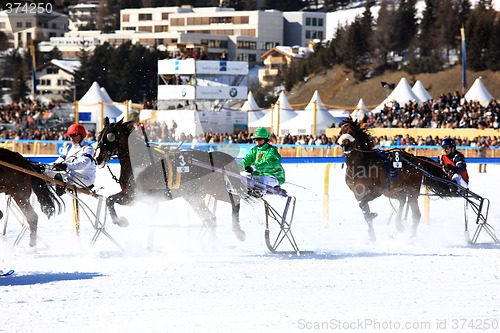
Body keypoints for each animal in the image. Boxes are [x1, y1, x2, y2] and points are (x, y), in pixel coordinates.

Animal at [94, 118, 250, 240]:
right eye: (100, 134)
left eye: (110, 136)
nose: (97, 158)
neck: (138, 162)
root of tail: (215, 158)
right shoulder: (129, 195)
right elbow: (109, 200)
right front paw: (121, 221)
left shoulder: (135, 196)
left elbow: (111, 200)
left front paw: (121, 222)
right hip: (194, 196)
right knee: (211, 218)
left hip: (214, 189)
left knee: (235, 201)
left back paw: (238, 232)